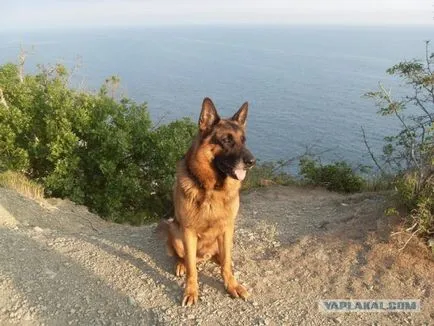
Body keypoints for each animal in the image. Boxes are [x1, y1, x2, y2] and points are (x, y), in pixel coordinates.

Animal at [159, 97, 254, 306]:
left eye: (243, 141)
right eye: (227, 140)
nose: (252, 161)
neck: (212, 189)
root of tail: (205, 255)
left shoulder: (227, 228)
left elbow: (226, 264)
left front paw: (232, 285)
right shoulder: (188, 232)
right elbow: (192, 269)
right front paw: (191, 291)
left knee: (222, 257)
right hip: (177, 233)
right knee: (186, 258)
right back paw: (181, 265)